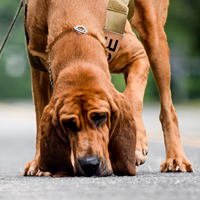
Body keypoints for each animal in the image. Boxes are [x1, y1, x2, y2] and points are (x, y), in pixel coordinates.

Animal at [23, 0, 192, 177]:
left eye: (101, 117)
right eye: (68, 123)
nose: (89, 164)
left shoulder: (138, 56)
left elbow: (132, 98)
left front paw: (136, 144)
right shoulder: (38, 68)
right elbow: (39, 117)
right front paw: (38, 162)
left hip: (154, 35)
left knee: (167, 107)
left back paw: (176, 158)